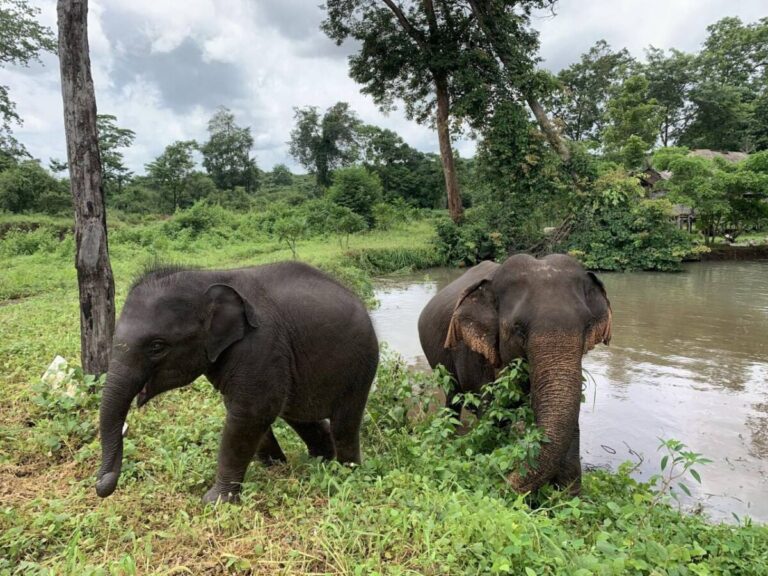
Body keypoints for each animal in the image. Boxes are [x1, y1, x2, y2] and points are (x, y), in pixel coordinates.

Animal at [96, 260, 378, 504]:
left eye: (157, 347)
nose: (102, 485)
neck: (207, 277)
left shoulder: (260, 344)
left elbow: (251, 412)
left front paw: (214, 501)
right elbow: (247, 411)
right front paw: (275, 468)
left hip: (360, 366)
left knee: (344, 423)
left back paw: (346, 471)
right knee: (299, 415)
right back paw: (319, 462)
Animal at [416, 254, 608, 492]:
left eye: (587, 325)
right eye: (518, 329)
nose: (503, 481)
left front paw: (568, 497)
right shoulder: (470, 352)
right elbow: (492, 413)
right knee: (453, 397)